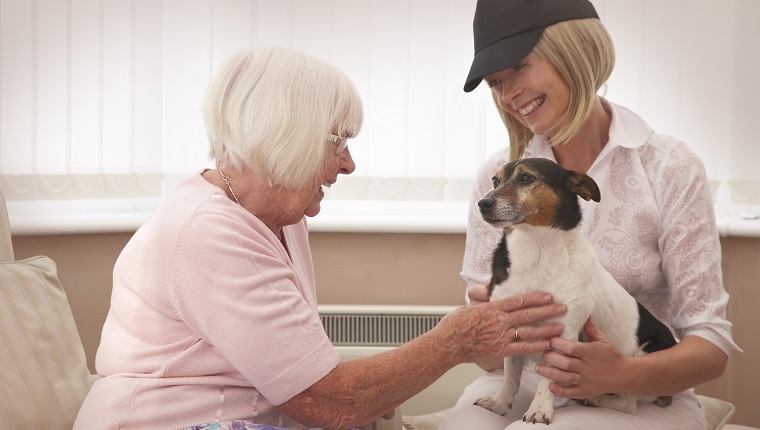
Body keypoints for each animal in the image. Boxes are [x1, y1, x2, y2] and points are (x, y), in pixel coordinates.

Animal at [476, 157, 676, 424]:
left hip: (639, 366)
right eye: (495, 181)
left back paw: (592, 399)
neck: (537, 253)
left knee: (628, 403)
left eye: (526, 178)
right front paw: (500, 403)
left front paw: (540, 408)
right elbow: (510, 376)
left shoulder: (564, 334)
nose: (482, 203)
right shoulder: (512, 327)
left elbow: (547, 379)